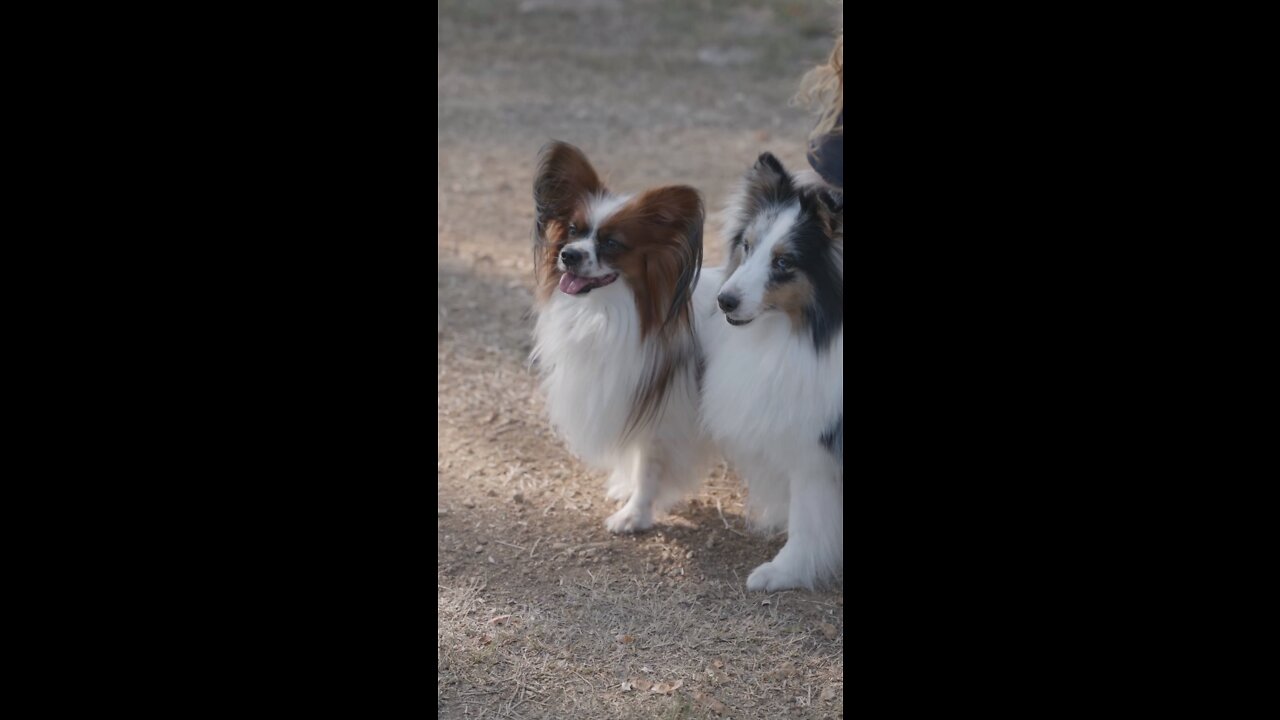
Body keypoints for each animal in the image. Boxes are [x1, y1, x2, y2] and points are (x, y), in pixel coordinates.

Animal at [529, 141, 711, 532]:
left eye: (611, 243)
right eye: (572, 230)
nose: (568, 255)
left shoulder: (663, 419)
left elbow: (648, 469)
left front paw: (634, 515)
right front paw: (625, 490)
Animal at [696, 152, 844, 589]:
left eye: (784, 262)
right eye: (747, 247)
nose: (724, 300)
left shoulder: (814, 448)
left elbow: (807, 518)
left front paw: (784, 571)